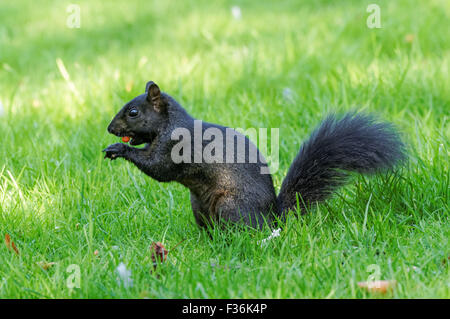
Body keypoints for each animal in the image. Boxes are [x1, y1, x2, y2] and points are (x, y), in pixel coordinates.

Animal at [103, 81, 406, 229]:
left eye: (133, 112)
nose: (110, 129)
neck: (169, 123)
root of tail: (273, 218)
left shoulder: (174, 146)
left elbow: (159, 168)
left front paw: (120, 149)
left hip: (231, 206)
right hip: (199, 206)